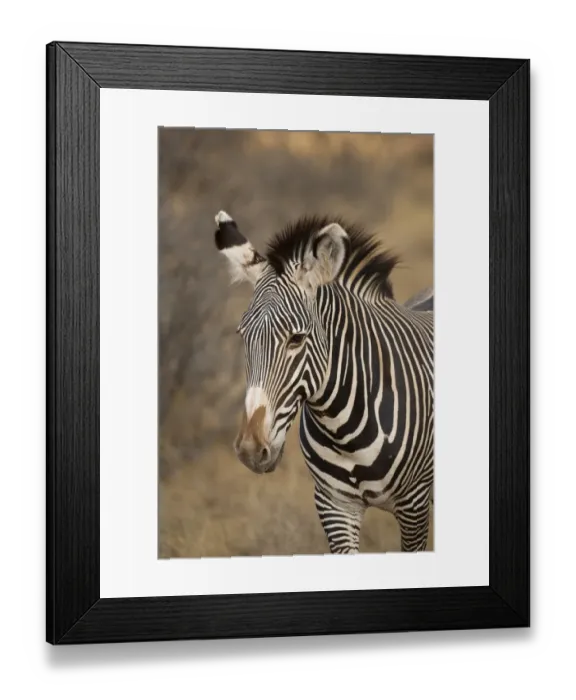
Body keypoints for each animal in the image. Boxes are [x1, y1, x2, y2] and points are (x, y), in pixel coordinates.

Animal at [214, 210, 434, 554]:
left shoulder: (415, 505)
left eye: (296, 339)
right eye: (242, 336)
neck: (346, 432)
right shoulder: (334, 507)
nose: (250, 450)